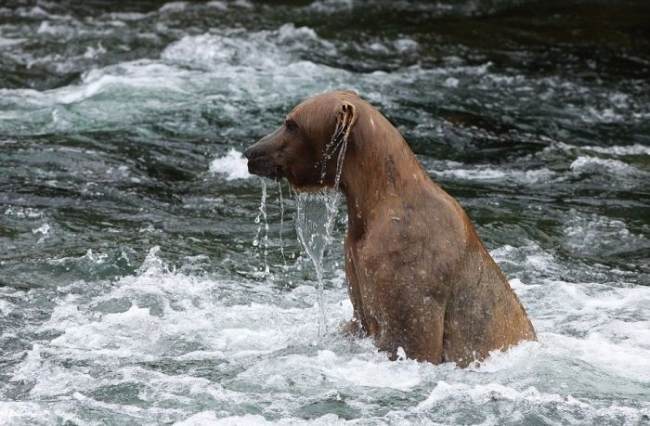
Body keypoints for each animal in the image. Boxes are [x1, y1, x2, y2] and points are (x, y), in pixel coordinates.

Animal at [240, 90, 536, 366]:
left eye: (291, 124)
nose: (250, 152)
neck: (373, 201)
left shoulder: (408, 264)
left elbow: (409, 337)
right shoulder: (356, 258)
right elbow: (356, 320)